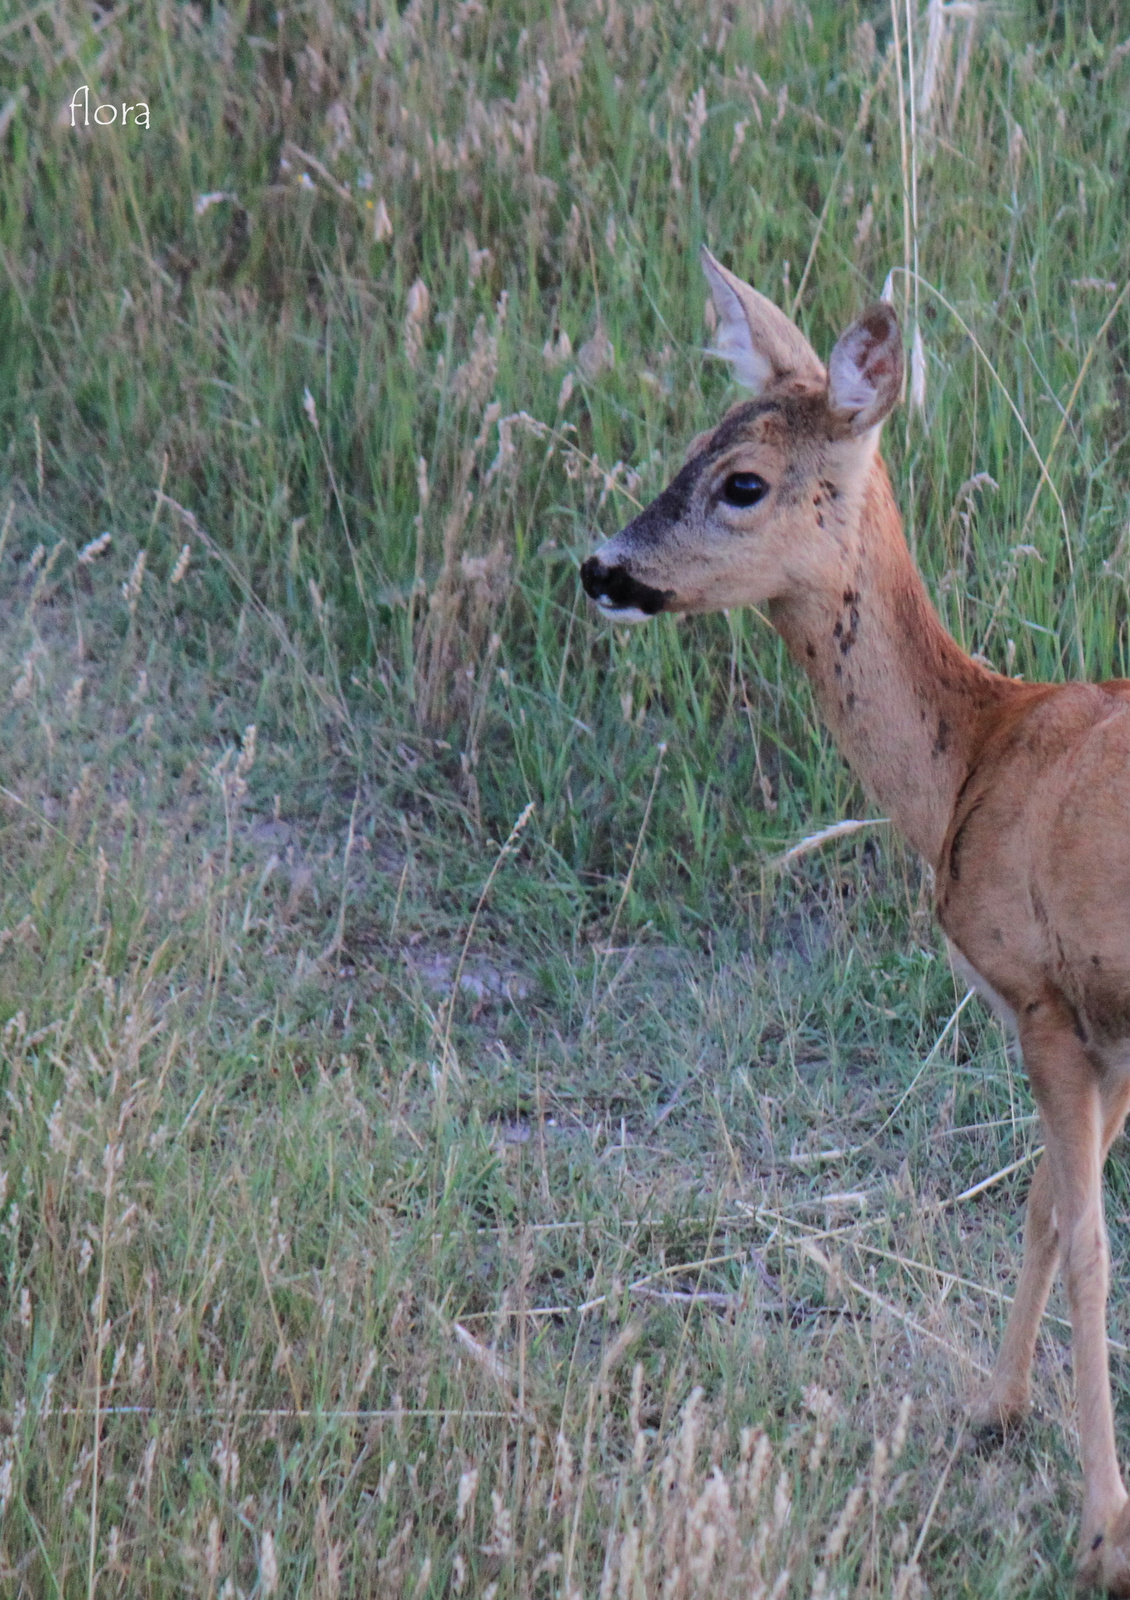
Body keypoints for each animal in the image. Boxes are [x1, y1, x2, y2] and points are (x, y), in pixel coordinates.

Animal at [582, 249, 1126, 1587]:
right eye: (691, 440)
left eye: (741, 479)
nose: (599, 567)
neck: (973, 760)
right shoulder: (1104, 1032)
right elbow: (1047, 1208)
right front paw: (994, 1410)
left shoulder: (1042, 994)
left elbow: (1084, 1238)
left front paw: (1101, 1529)